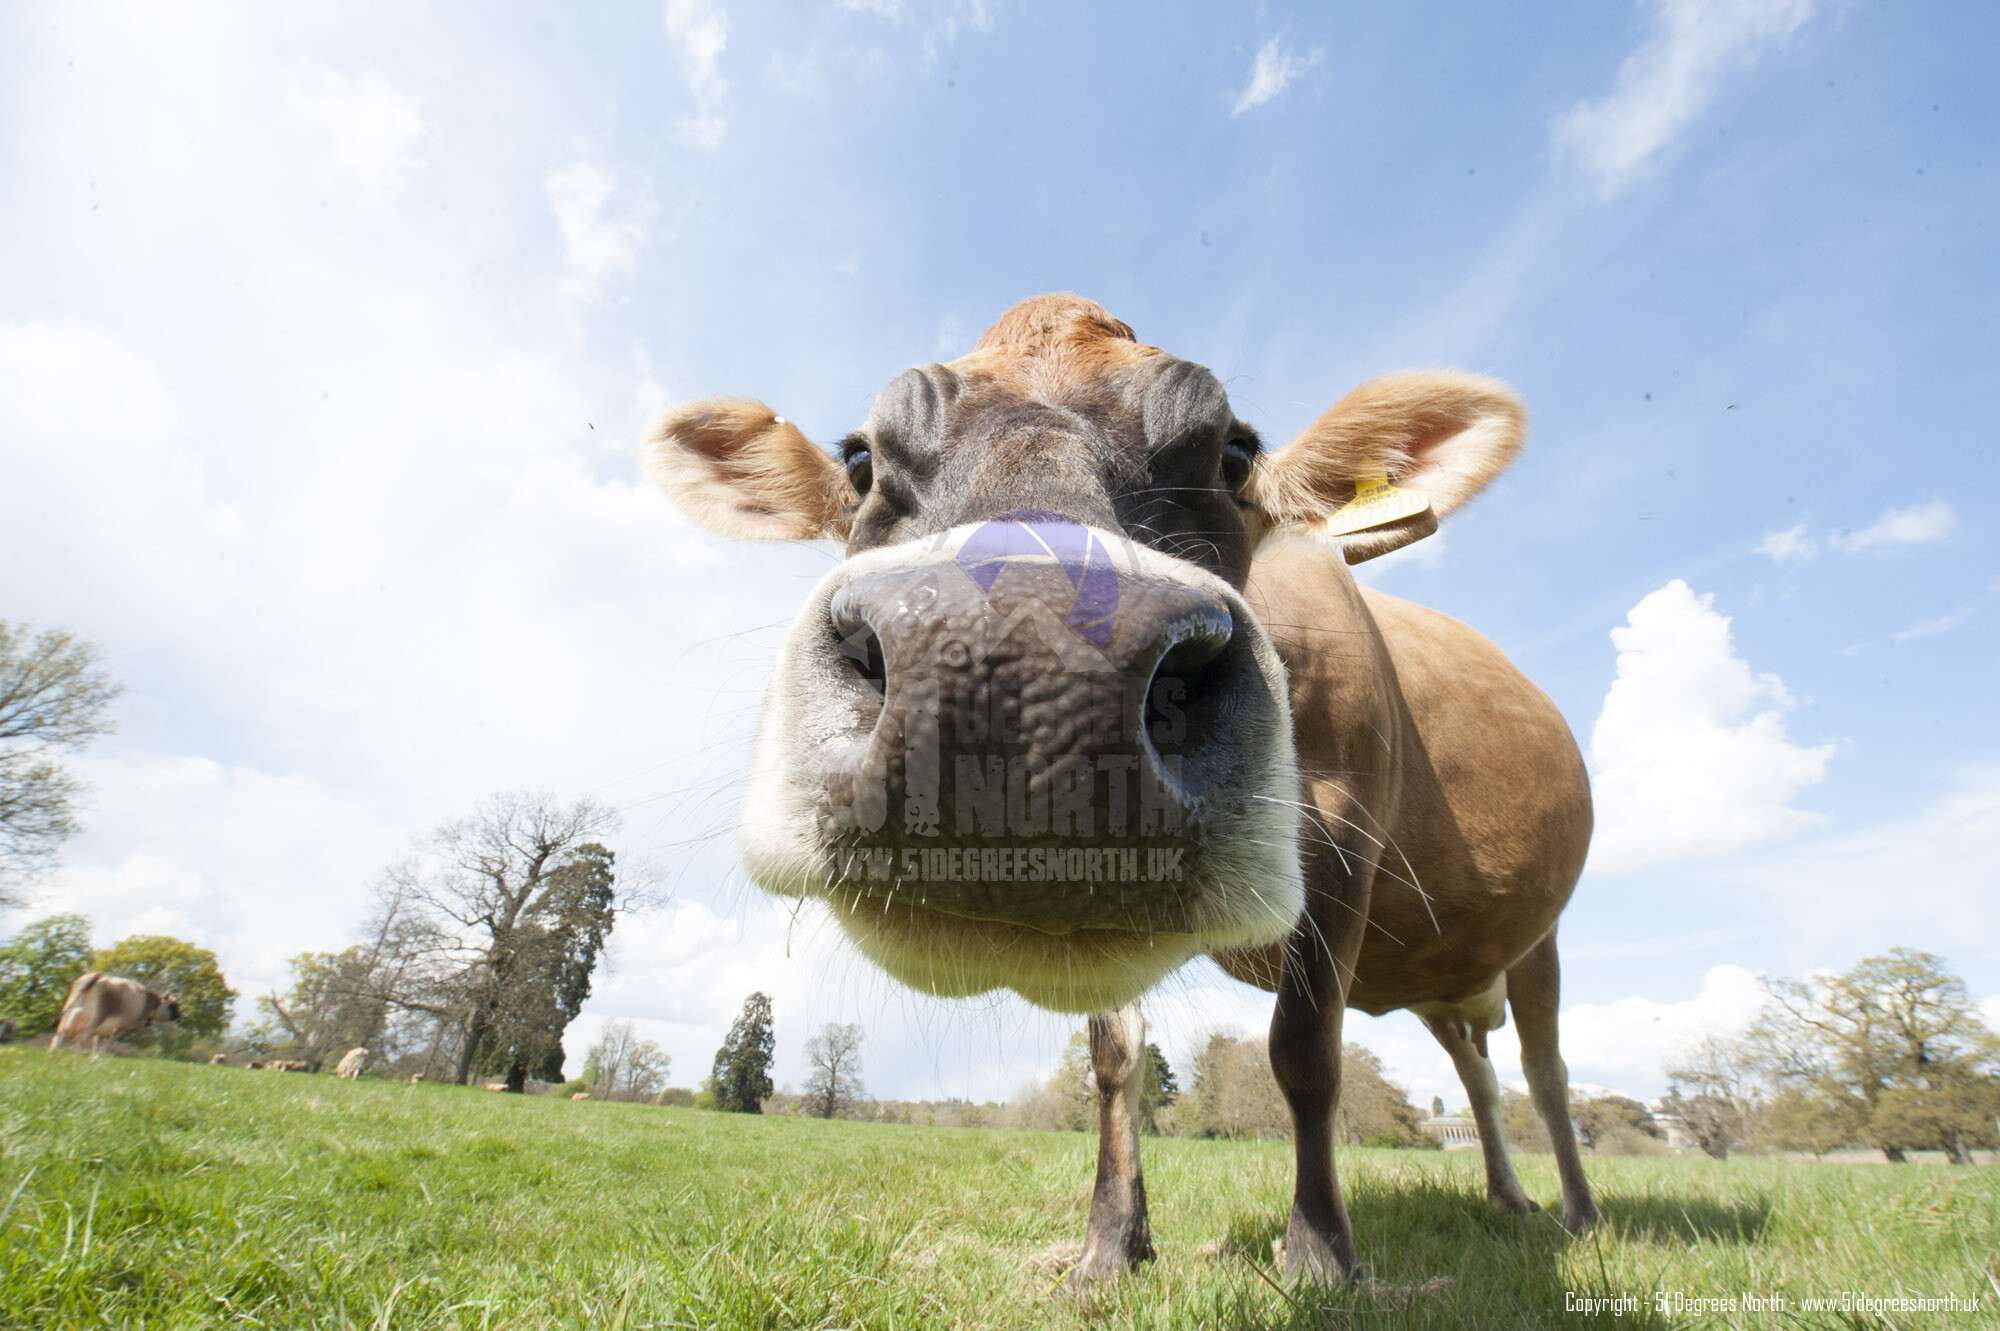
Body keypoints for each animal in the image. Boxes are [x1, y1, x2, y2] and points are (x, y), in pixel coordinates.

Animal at [48, 972, 181, 1057]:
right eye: (172, 1005)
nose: (179, 1018)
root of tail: (100, 975)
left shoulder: (100, 1031)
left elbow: (96, 1045)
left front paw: (92, 1061)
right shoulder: (122, 1028)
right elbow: (107, 1045)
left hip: (69, 1013)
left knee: (58, 1037)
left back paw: (52, 1059)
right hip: (94, 1019)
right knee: (79, 1039)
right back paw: (74, 1061)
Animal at [640, 295, 1598, 1285]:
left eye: (1234, 454)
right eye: (861, 461)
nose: (1020, 659)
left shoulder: (1344, 840)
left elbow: (1306, 1052)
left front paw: (1321, 1253)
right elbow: (1115, 1055)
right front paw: (1111, 1243)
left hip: (1542, 936)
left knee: (1547, 1070)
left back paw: (1578, 1212)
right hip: (1449, 972)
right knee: (1480, 1071)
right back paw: (1508, 1196)